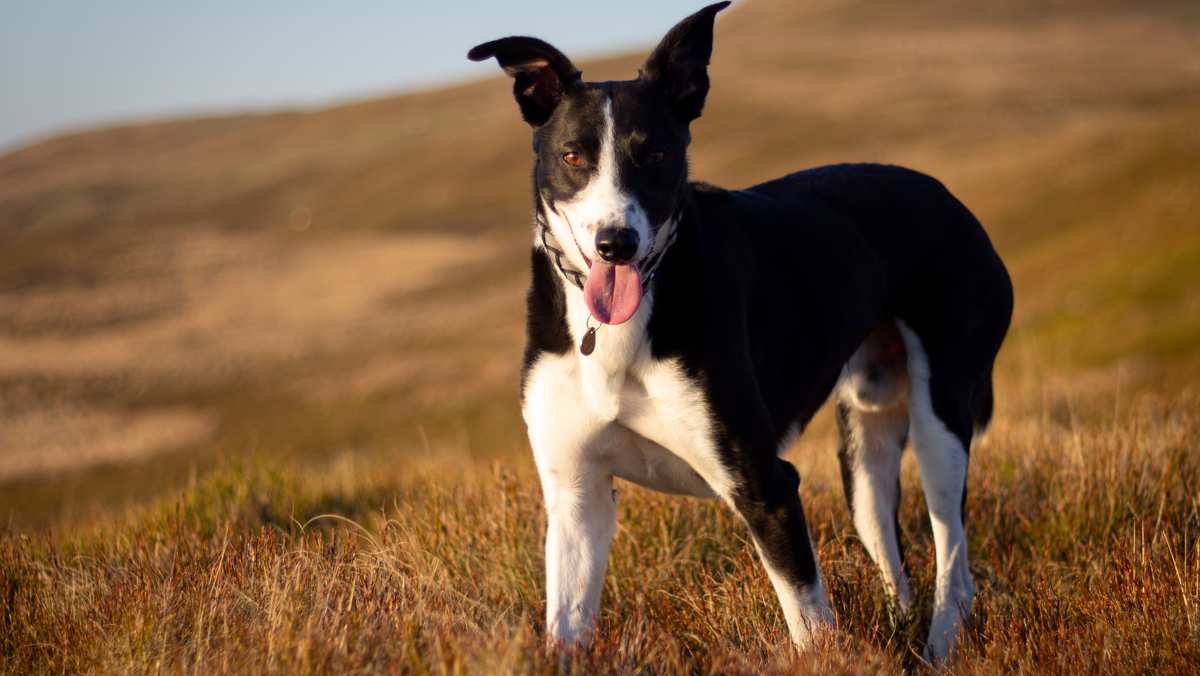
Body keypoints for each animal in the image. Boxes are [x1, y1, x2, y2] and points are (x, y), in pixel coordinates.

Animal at [468, 1, 1012, 662]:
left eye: (655, 156)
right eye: (573, 156)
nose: (615, 244)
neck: (624, 329)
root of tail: (950, 198)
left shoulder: (766, 488)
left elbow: (810, 625)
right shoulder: (576, 496)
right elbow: (567, 627)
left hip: (941, 419)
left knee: (952, 559)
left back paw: (941, 645)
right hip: (865, 442)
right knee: (892, 552)